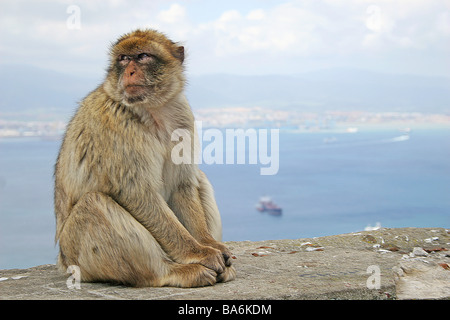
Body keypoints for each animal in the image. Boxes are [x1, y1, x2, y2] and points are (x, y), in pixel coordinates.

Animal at [53, 28, 236, 286]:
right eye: (123, 59)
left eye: (142, 56)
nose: (129, 71)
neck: (154, 109)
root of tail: (63, 262)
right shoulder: (116, 125)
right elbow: (138, 193)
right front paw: (198, 253)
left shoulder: (183, 117)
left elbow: (182, 185)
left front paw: (207, 244)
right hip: (76, 258)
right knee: (93, 204)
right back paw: (174, 271)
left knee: (198, 177)